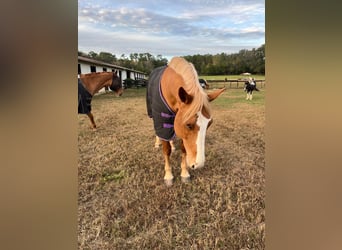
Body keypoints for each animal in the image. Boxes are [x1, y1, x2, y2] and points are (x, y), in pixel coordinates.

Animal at [146, 56, 224, 186]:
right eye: (188, 124)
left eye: (209, 124)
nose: (198, 165)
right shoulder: (162, 118)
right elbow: (166, 150)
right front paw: (168, 175)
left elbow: (183, 149)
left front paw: (184, 173)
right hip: (153, 113)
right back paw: (158, 142)